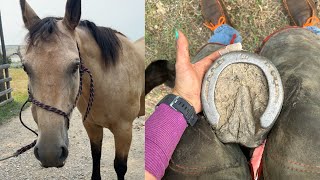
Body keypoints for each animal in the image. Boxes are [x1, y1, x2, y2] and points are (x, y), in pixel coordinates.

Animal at [19, 0, 144, 179]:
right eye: (25, 67)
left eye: (75, 66)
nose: (49, 153)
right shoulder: (91, 126)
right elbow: (96, 157)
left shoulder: (124, 131)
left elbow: (120, 167)